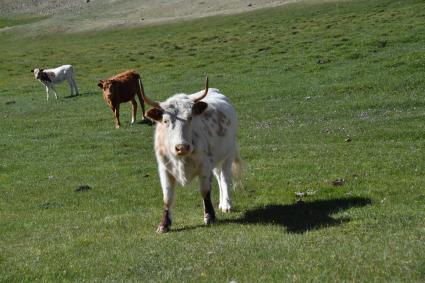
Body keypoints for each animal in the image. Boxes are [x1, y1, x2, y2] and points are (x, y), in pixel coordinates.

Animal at [143, 77, 240, 233]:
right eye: (165, 120)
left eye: (190, 118)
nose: (182, 147)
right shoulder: (164, 169)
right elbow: (167, 197)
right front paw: (164, 224)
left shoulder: (205, 167)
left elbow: (205, 191)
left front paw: (210, 217)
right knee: (219, 177)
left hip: (228, 153)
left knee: (225, 177)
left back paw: (226, 204)